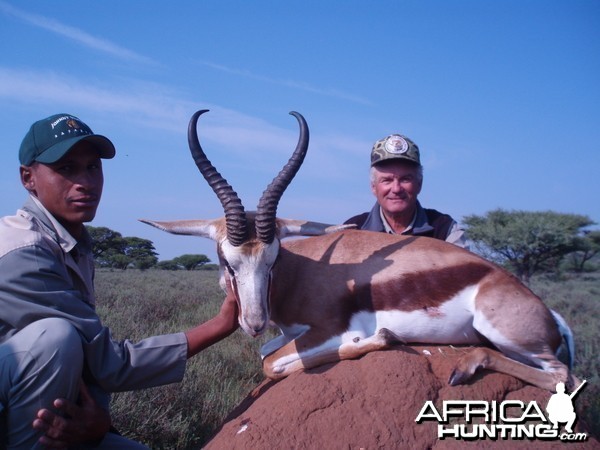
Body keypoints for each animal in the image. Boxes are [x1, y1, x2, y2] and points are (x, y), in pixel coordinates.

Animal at [143, 110, 580, 392]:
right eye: (227, 262)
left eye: (274, 258)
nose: (252, 323)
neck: (302, 274)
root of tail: (549, 313)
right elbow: (268, 351)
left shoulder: (325, 330)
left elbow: (271, 363)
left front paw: (376, 338)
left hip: (505, 334)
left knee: (564, 377)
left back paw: (465, 366)